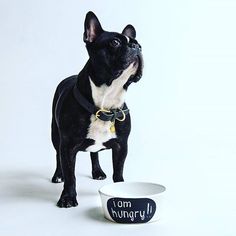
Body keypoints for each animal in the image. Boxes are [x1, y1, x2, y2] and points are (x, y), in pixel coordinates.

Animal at [51, 11, 143, 206]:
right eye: (115, 42)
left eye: (139, 44)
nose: (136, 47)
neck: (105, 104)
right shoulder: (67, 146)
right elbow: (70, 175)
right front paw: (68, 197)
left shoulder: (121, 146)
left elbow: (118, 171)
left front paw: (120, 190)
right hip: (55, 135)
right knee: (57, 156)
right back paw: (57, 175)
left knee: (95, 154)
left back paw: (97, 172)